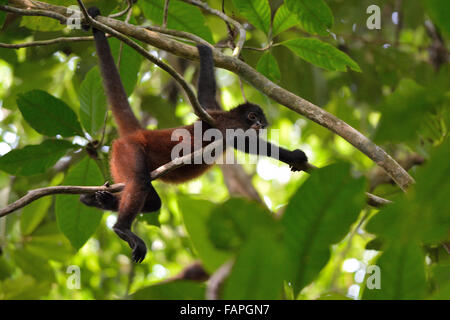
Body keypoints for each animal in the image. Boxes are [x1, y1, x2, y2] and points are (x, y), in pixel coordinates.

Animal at [80, 6, 310, 262]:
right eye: (252, 116)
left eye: (262, 120)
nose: (259, 123)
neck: (228, 116)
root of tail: (140, 133)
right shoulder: (228, 123)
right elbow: (247, 143)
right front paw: (295, 156)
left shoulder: (212, 109)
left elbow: (205, 95)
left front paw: (205, 51)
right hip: (128, 152)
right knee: (140, 182)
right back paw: (122, 228)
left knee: (152, 202)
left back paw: (98, 199)